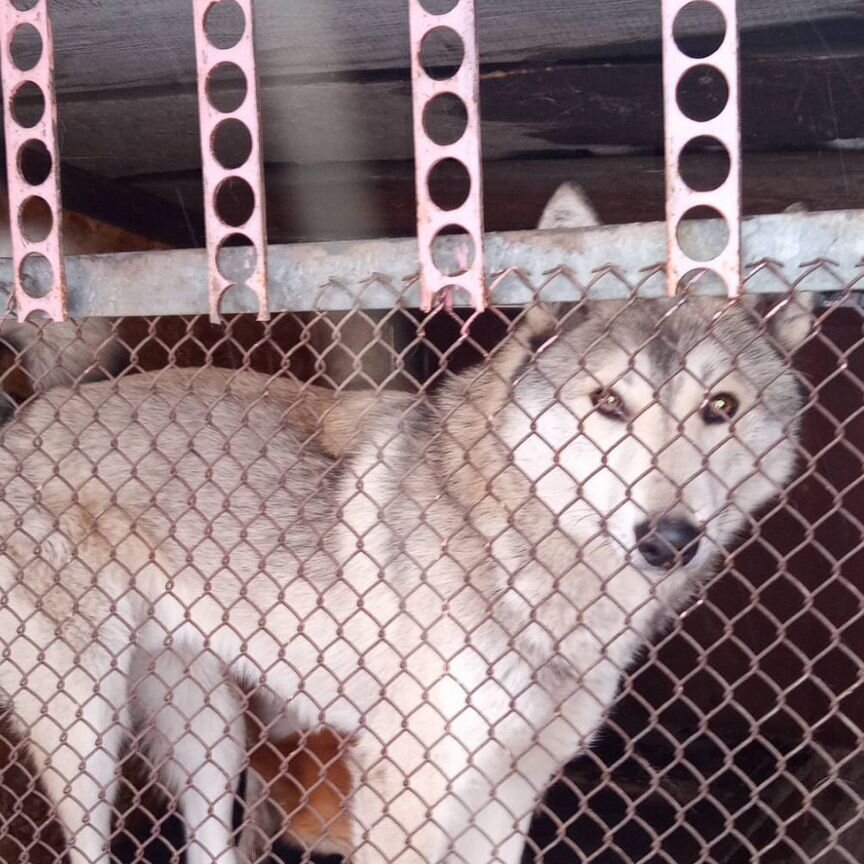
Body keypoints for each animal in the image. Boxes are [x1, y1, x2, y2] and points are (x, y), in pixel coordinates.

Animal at [0, 189, 808, 864]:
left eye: (721, 408)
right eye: (608, 403)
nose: (668, 540)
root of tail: (35, 411)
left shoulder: (509, 795)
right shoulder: (407, 789)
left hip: (209, 734)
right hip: (90, 731)